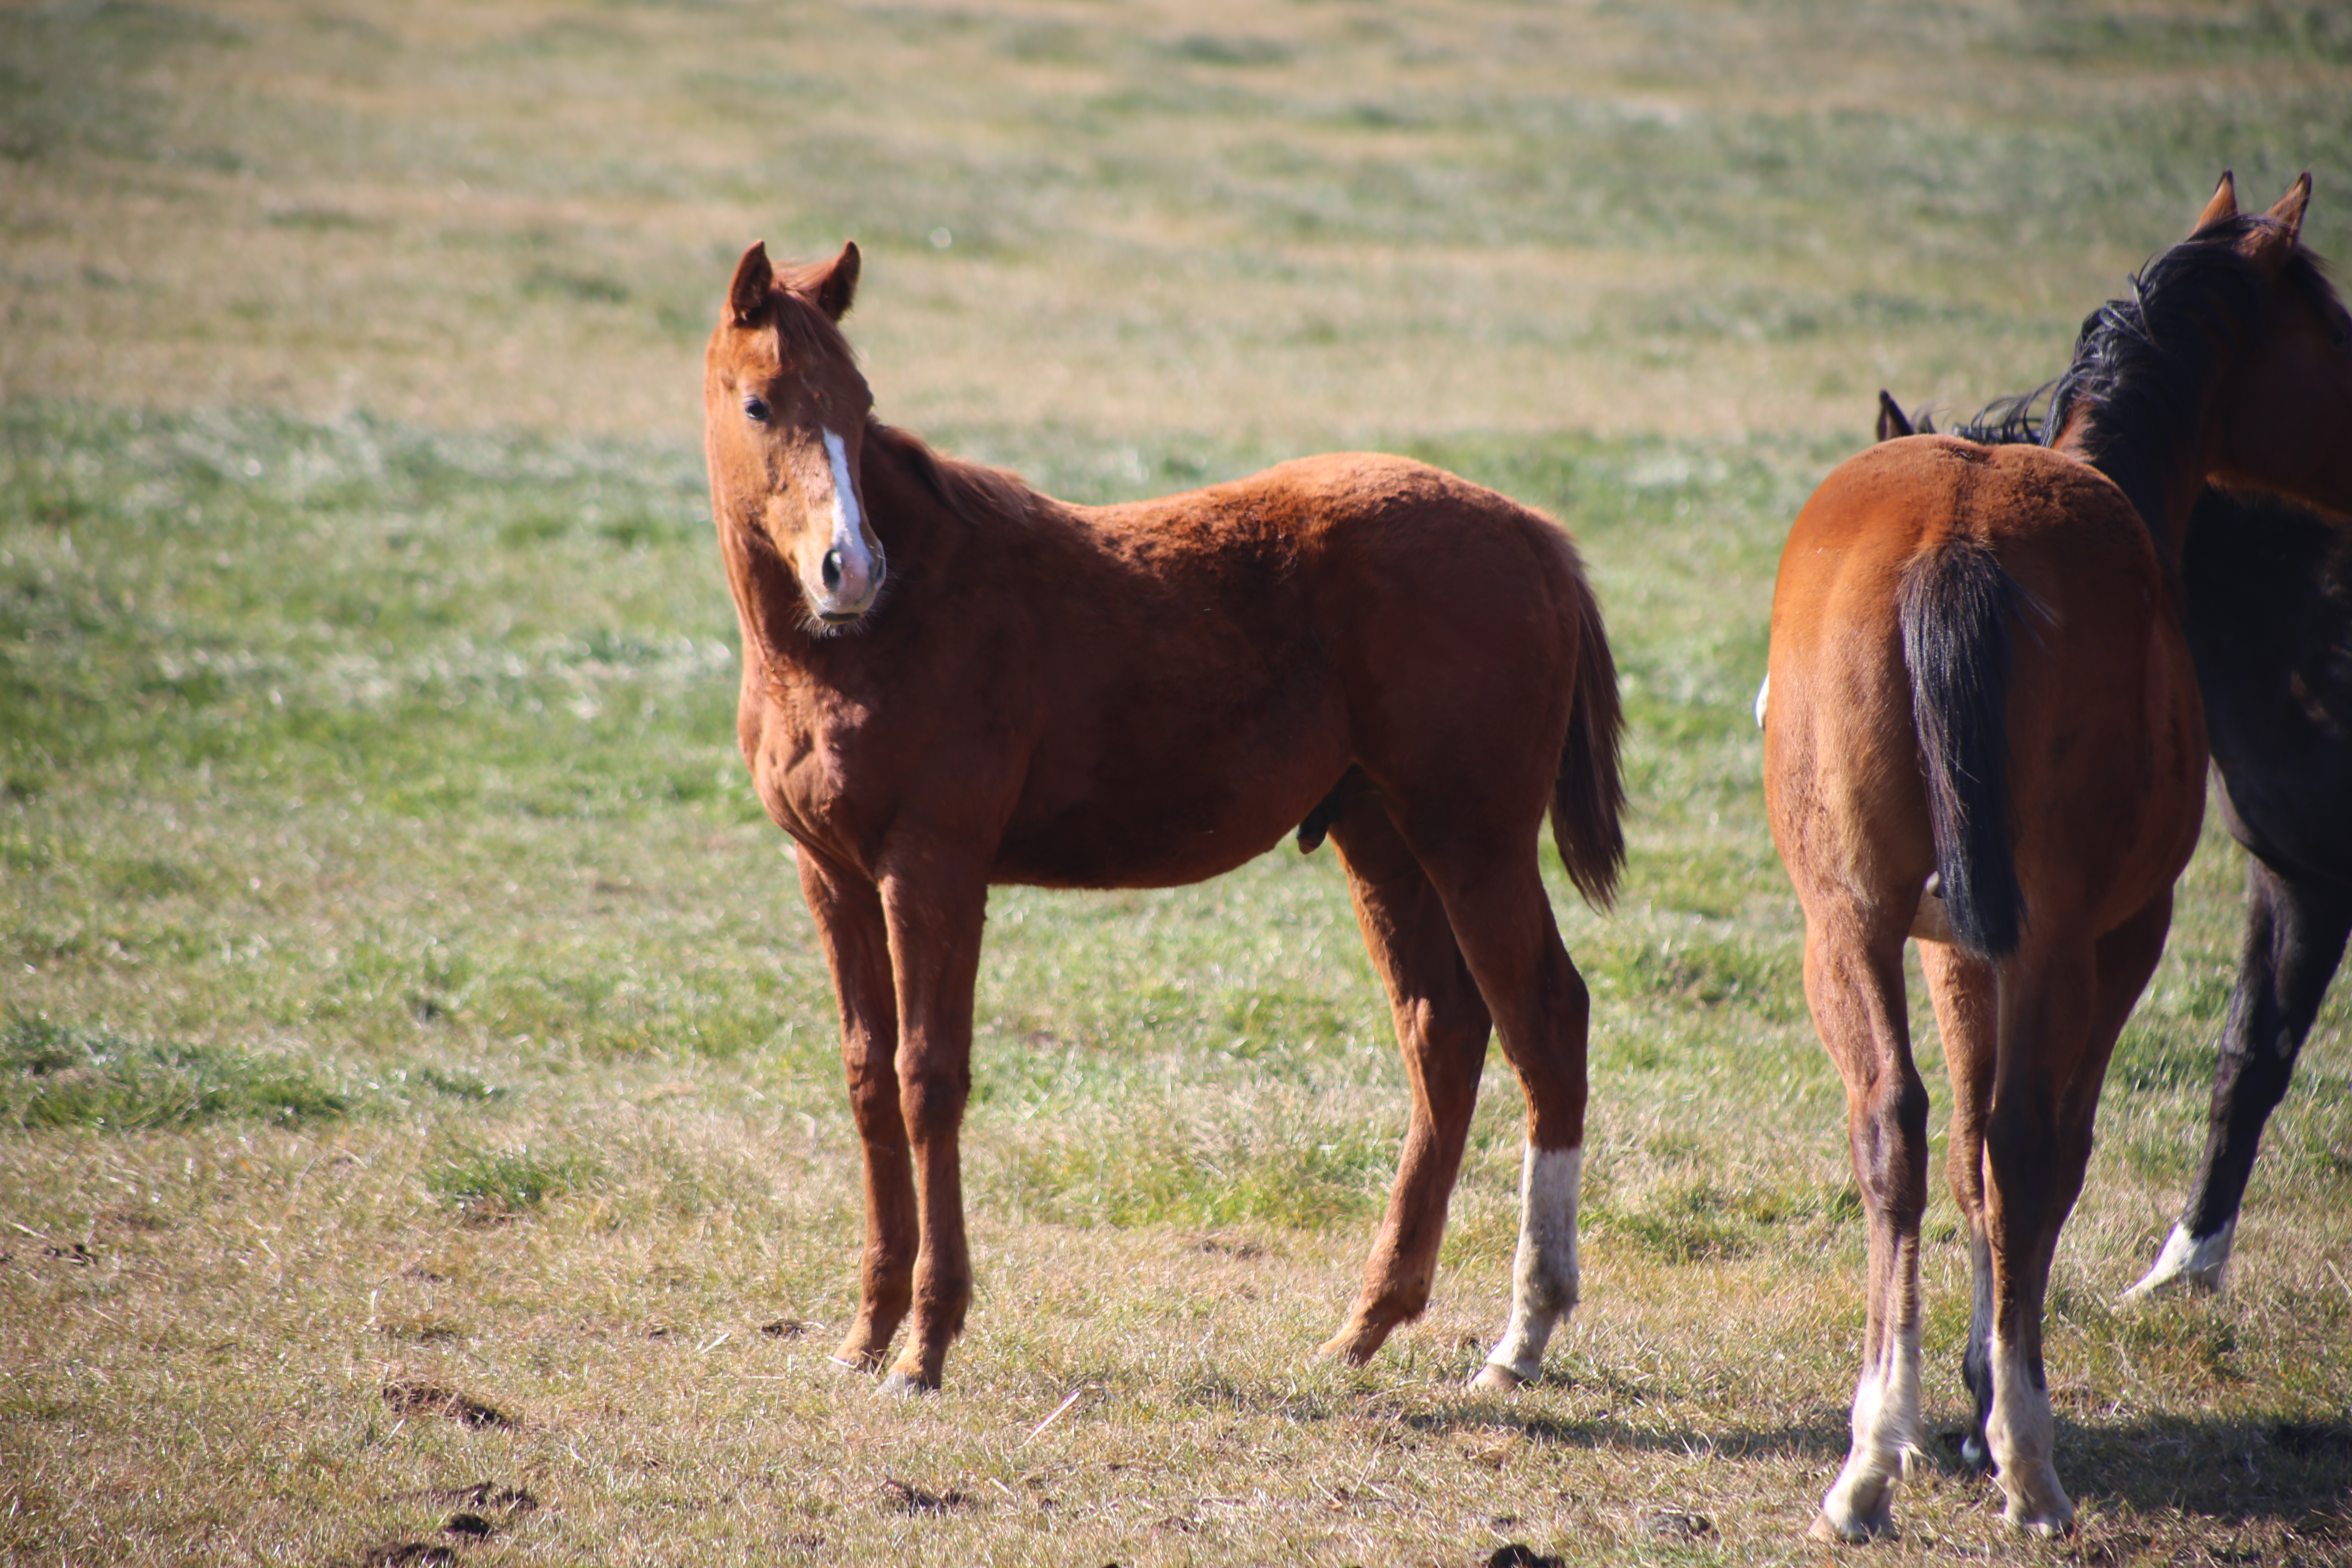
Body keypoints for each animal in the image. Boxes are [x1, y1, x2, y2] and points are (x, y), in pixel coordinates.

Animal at [696, 240, 1618, 1392]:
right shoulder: (830, 872)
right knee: (1443, 1030)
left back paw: (1519, 1339)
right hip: (1382, 838)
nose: (849, 569)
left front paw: (926, 1341)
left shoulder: (933, 865)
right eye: (760, 403)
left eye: (861, 405)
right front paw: (866, 1334)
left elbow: (927, 1079)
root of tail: (1532, 534)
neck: (868, 638)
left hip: (1473, 838)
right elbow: (869, 1080)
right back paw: (1366, 1321)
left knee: (1545, 1022)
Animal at [1768, 177, 2352, 1542]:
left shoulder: (1952, 950)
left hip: (1851, 927)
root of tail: (1956, 543)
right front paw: (1993, 1401)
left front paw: (1956, 1399)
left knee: (1895, 1126)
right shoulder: (2117, 938)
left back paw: (1872, 1456)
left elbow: (1966, 1158)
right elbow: (2038, 1153)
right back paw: (2029, 1465)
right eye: (2335, 329)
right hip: (2064, 943)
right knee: (2032, 1141)